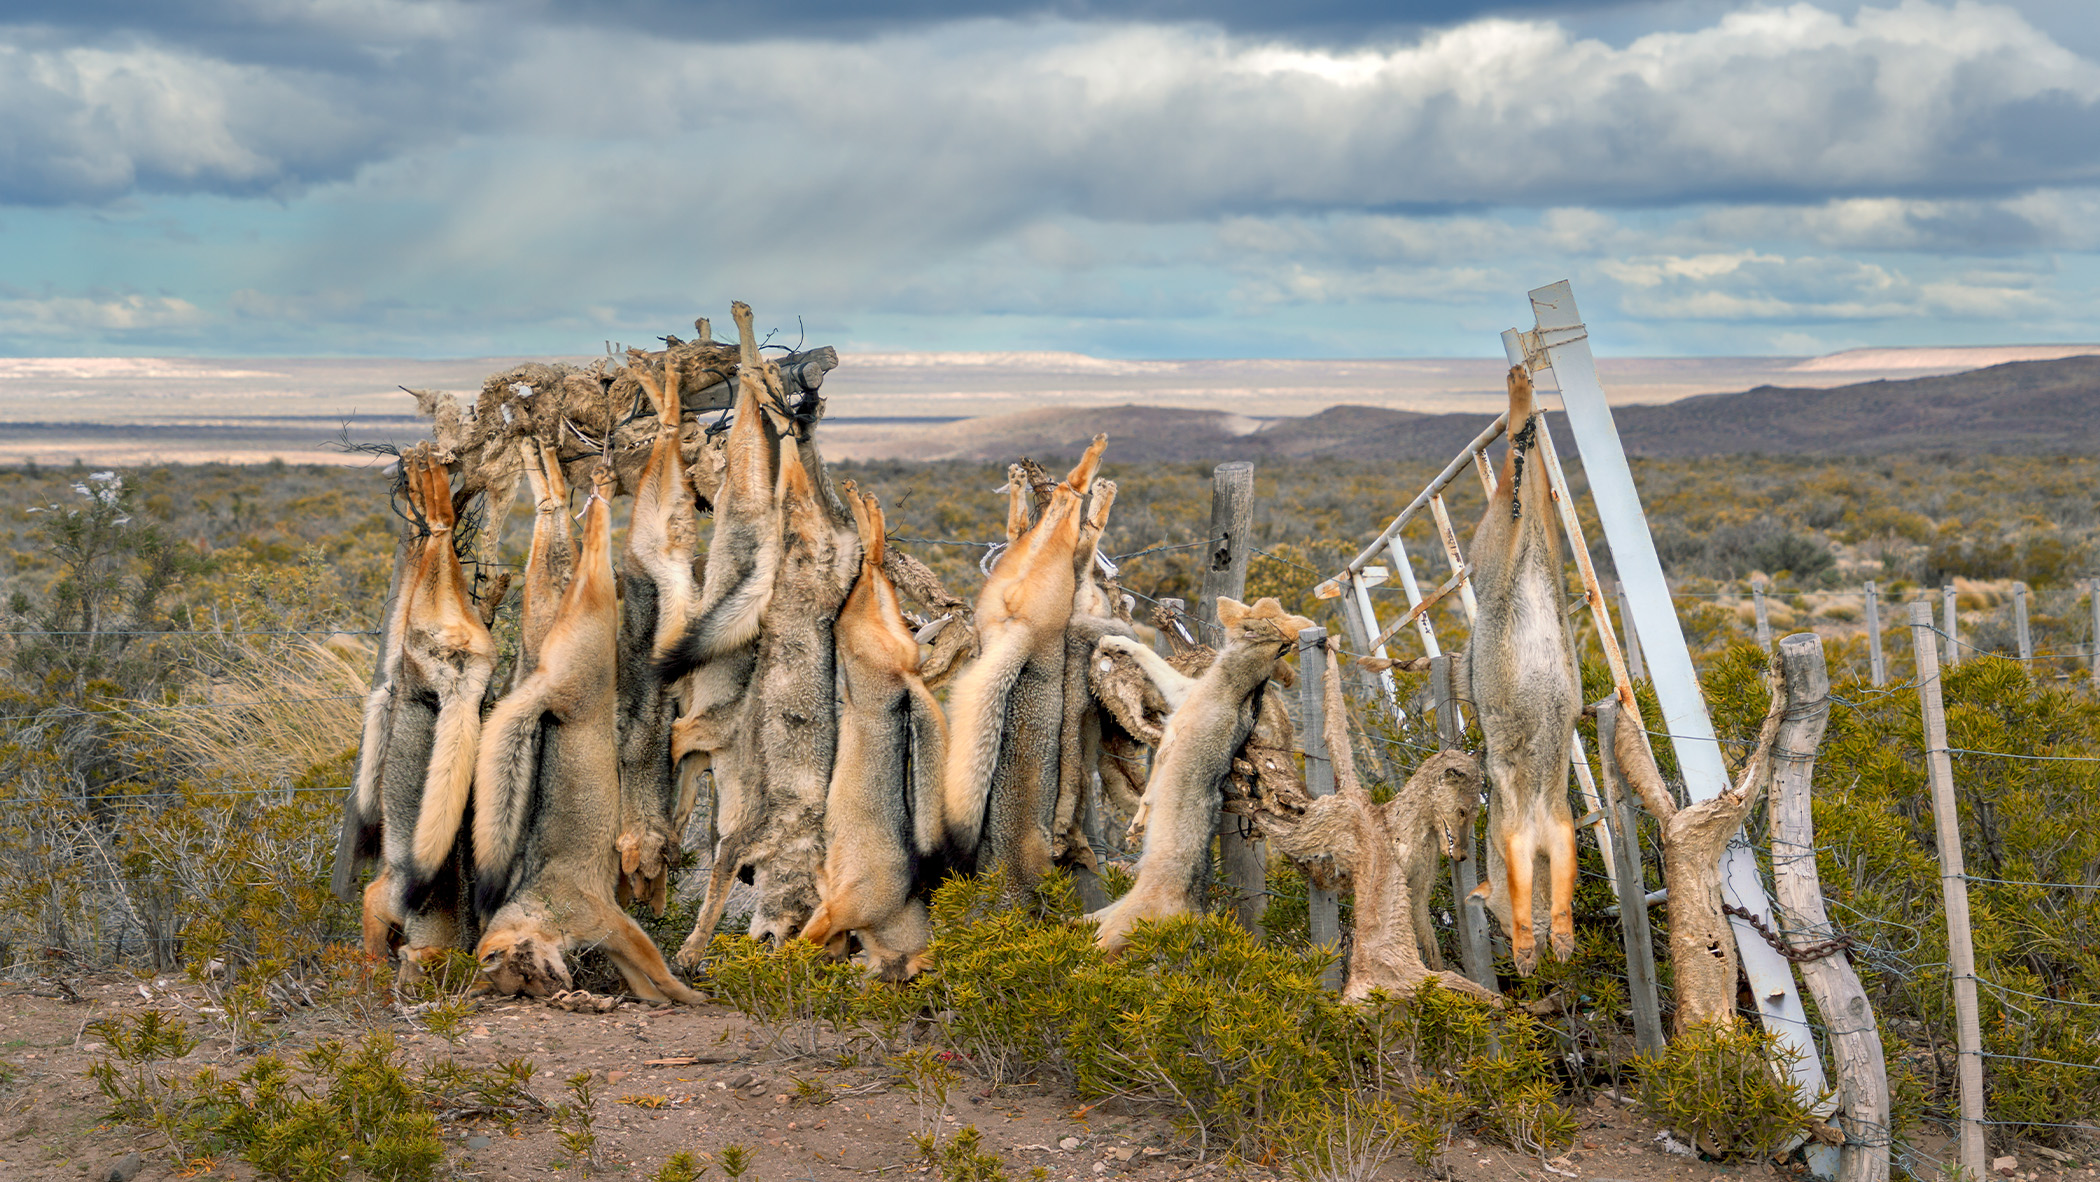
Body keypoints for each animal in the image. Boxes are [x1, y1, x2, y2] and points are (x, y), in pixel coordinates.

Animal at [353, 446, 499, 980]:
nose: (409, 981)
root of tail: (459, 677)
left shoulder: (384, 896)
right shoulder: (381, 898)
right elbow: (373, 936)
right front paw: (373, 971)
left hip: (428, 626)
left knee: (436, 537)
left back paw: (425, 484)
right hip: (438, 625)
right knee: (438, 537)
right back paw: (426, 482)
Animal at [471, 463, 703, 1005]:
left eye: (524, 964)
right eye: (525, 987)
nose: (558, 988)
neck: (542, 906)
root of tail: (545, 687)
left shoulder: (614, 923)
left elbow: (662, 974)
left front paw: (694, 999)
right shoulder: (611, 934)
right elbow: (644, 981)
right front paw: (656, 1001)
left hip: (592, 616)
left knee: (587, 543)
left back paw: (586, 485)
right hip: (575, 619)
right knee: (565, 543)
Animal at [797, 487, 948, 980]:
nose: (894, 981)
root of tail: (907, 678)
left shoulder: (834, 911)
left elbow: (816, 940)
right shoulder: (837, 911)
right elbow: (799, 944)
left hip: (867, 634)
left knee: (875, 571)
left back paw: (865, 508)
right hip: (860, 631)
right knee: (872, 569)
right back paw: (863, 506)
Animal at [940, 437, 1108, 890]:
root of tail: (1024, 633)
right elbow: (1089, 539)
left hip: (1017, 558)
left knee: (1020, 527)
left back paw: (1019, 482)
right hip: (1057, 552)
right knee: (1068, 497)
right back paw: (1094, 468)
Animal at [1085, 596, 1313, 954]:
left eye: (1250, 610)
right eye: (1265, 606)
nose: (1222, 601)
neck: (1235, 687)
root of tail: (1193, 912)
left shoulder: (1174, 716)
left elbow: (1144, 652)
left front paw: (1115, 641)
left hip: (1110, 931)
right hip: (1102, 916)